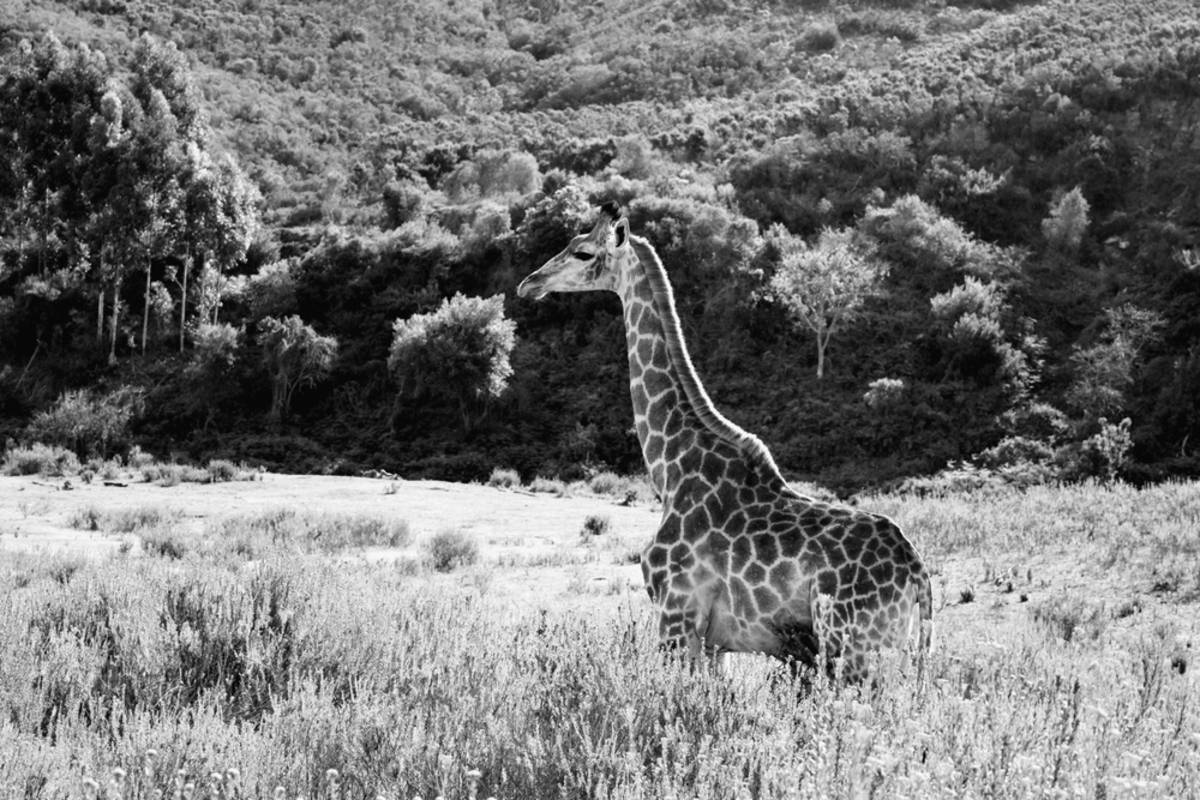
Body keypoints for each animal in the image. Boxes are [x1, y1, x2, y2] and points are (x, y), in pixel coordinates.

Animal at [516, 204, 933, 680]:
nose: (530, 283)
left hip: (853, 646)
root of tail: (917, 573)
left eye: (583, 252)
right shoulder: (716, 641)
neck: (672, 466)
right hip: (887, 649)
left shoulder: (676, 615)